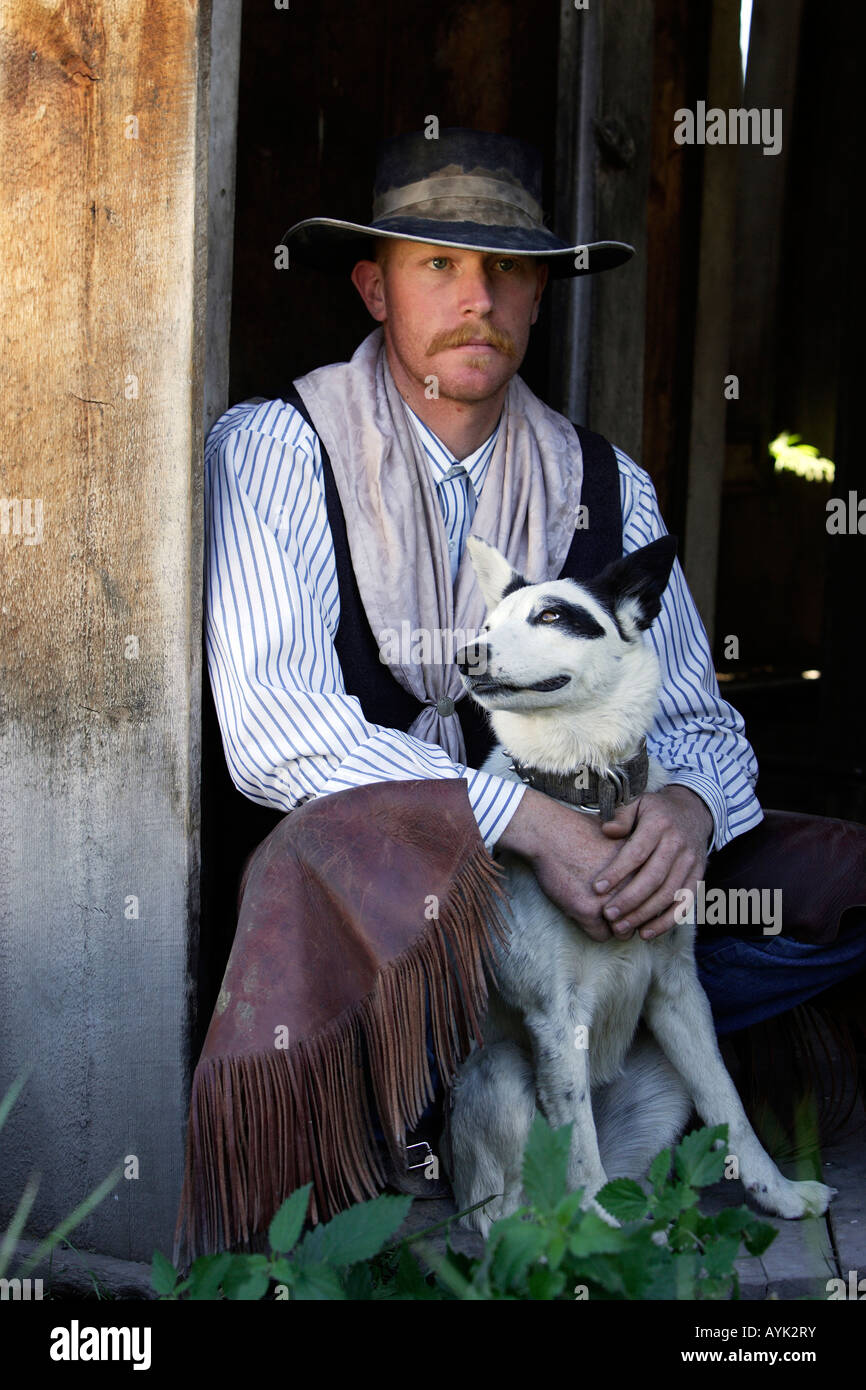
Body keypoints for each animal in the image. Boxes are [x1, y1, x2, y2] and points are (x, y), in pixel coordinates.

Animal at [444, 536, 839, 1234]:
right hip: (503, 1072)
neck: (588, 785)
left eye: (552, 616)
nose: (468, 654)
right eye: (488, 626)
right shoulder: (555, 1017)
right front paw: (597, 1239)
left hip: (662, 1082)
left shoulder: (682, 996)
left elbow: (733, 1113)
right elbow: (579, 1154)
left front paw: (780, 1194)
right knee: (514, 1210)